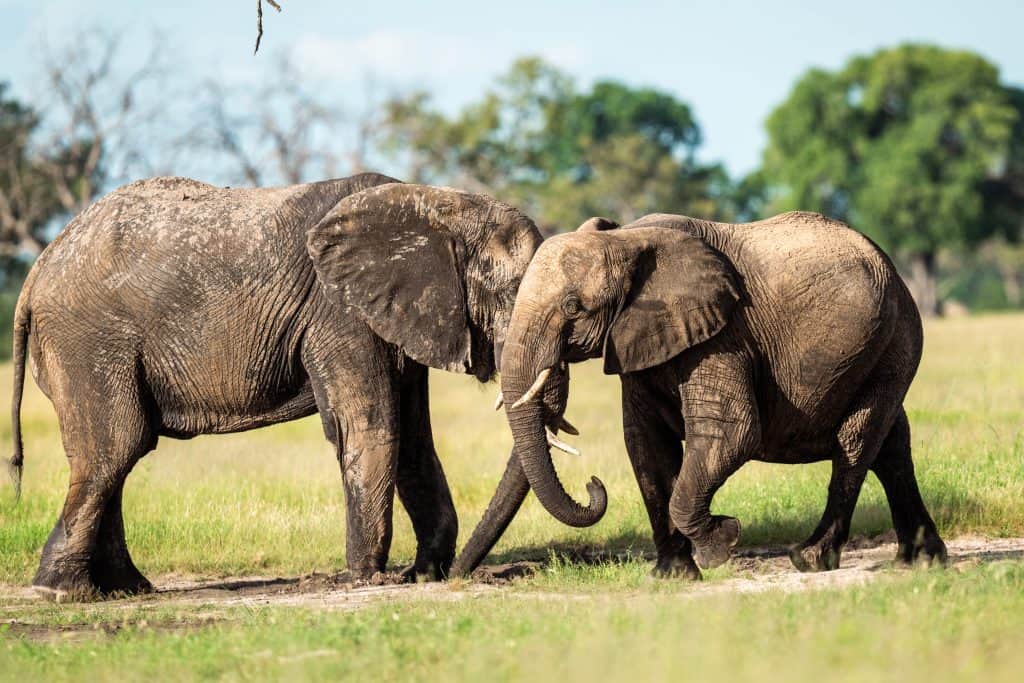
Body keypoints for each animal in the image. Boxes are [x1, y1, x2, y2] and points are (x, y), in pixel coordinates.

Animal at [7, 172, 574, 599]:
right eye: (509, 292)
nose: (463, 575)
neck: (436, 204)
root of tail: (40, 266)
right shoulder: (337, 312)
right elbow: (372, 426)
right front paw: (369, 579)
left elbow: (414, 439)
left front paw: (423, 574)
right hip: (90, 341)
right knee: (116, 447)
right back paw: (64, 594)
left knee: (115, 454)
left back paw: (126, 589)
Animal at [457, 210, 948, 578]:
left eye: (573, 307)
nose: (593, 483)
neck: (626, 240)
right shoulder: (644, 340)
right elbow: (646, 445)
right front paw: (672, 576)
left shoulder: (723, 334)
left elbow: (731, 434)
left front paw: (722, 542)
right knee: (891, 446)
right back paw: (921, 562)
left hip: (896, 338)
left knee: (856, 442)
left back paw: (809, 559)